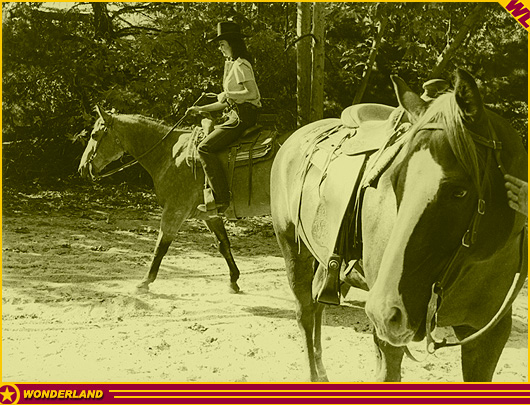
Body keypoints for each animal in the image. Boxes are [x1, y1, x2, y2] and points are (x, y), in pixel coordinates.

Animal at [77, 108, 286, 294]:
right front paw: (233, 280)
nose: (82, 168)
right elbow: (223, 244)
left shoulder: (175, 210)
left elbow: (161, 246)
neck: (169, 154)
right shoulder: (210, 215)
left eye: (95, 135)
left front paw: (145, 282)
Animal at [270, 68, 524, 380]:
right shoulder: (388, 337)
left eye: (460, 192)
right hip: (292, 248)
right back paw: (314, 375)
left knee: (317, 303)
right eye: (394, 181)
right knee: (305, 311)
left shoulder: (487, 335)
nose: (385, 310)